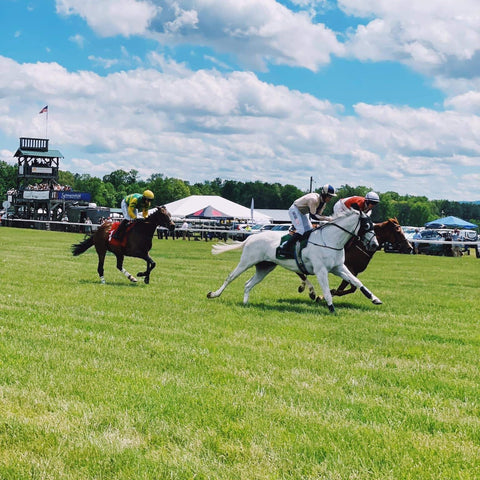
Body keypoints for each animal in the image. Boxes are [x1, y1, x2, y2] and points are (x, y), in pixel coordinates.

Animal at [207, 212, 382, 314]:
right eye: (367, 225)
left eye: (375, 226)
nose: (375, 245)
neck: (331, 240)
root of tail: (251, 237)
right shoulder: (321, 270)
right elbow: (326, 290)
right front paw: (331, 309)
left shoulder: (339, 268)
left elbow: (356, 282)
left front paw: (375, 299)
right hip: (246, 262)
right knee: (230, 277)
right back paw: (214, 294)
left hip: (265, 267)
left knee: (248, 284)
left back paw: (245, 303)